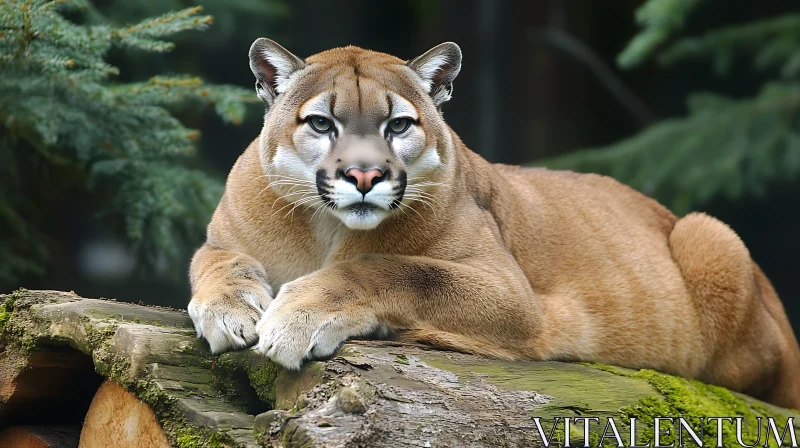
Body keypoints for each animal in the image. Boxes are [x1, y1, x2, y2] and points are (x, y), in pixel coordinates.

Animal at [189, 39, 800, 410]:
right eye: (320, 123)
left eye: (398, 125)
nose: (364, 175)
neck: (325, 229)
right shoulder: (223, 237)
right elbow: (213, 261)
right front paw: (229, 309)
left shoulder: (511, 292)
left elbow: (392, 268)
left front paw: (300, 314)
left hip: (709, 233)